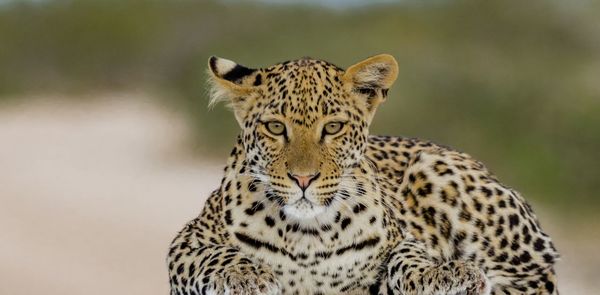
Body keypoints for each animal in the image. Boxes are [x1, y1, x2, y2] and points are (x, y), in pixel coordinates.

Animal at [166, 54, 560, 294]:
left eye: (333, 127)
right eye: (275, 128)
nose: (303, 179)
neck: (306, 235)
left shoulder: (399, 238)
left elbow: (408, 255)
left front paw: (440, 274)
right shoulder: (187, 241)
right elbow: (214, 255)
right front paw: (246, 276)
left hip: (439, 172)